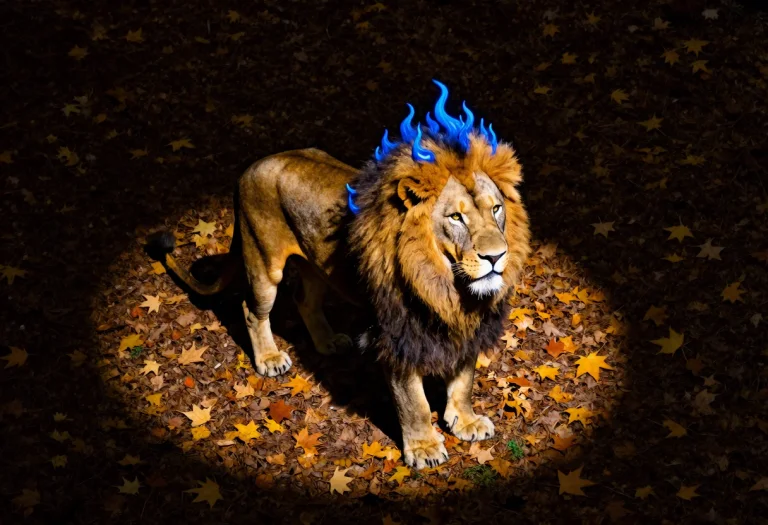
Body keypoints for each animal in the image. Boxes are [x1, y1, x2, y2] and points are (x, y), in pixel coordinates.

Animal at [149, 80, 530, 468]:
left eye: (496, 209)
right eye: (456, 217)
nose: (496, 256)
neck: (447, 286)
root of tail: (254, 164)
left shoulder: (469, 324)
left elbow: (464, 379)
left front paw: (464, 420)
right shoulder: (395, 337)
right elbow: (415, 402)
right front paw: (423, 447)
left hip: (318, 267)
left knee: (304, 301)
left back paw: (328, 342)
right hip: (263, 261)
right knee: (251, 309)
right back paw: (270, 359)